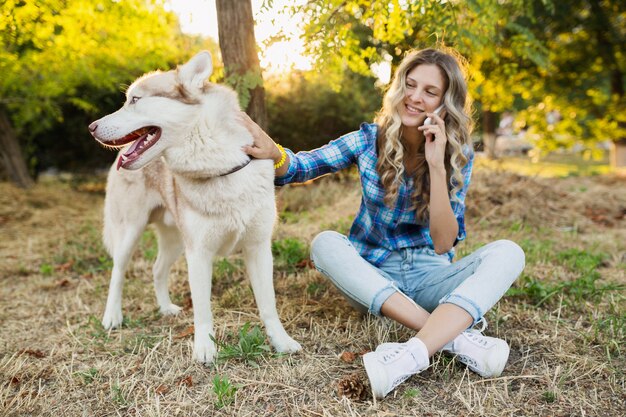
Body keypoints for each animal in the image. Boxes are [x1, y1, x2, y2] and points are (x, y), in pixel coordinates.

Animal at [89, 50, 302, 362]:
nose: (90, 128)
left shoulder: (258, 247)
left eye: (135, 100)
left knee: (157, 269)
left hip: (176, 240)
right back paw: (112, 316)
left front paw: (281, 342)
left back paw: (165, 308)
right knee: (117, 272)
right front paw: (204, 349)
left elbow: (268, 305)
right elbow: (202, 310)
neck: (219, 166)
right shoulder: (199, 254)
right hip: (132, 232)